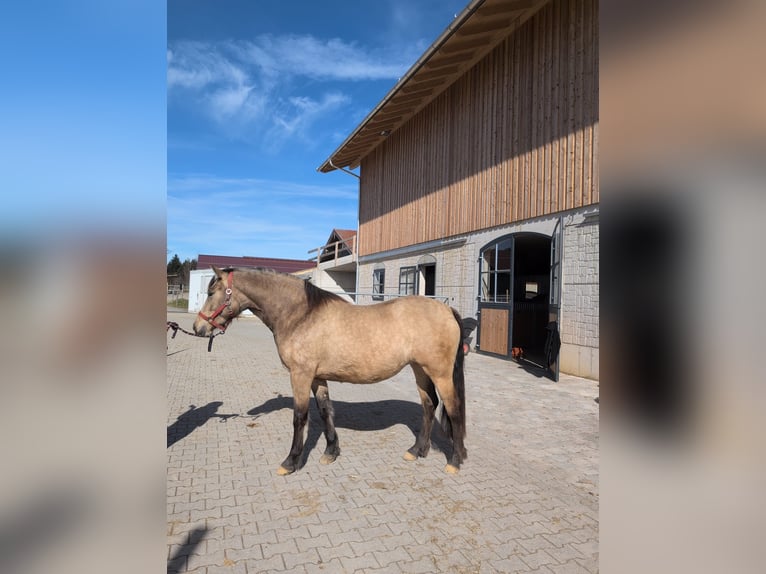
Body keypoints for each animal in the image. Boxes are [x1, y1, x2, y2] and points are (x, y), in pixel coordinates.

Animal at [193, 266, 467, 475]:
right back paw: (417, 451)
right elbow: (325, 411)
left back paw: (455, 461)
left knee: (453, 410)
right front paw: (330, 452)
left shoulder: (300, 375)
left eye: (211, 292)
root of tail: (446, 310)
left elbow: (300, 417)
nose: (198, 328)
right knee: (429, 405)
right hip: (420, 370)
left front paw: (291, 462)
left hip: (440, 373)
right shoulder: (317, 377)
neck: (300, 315)